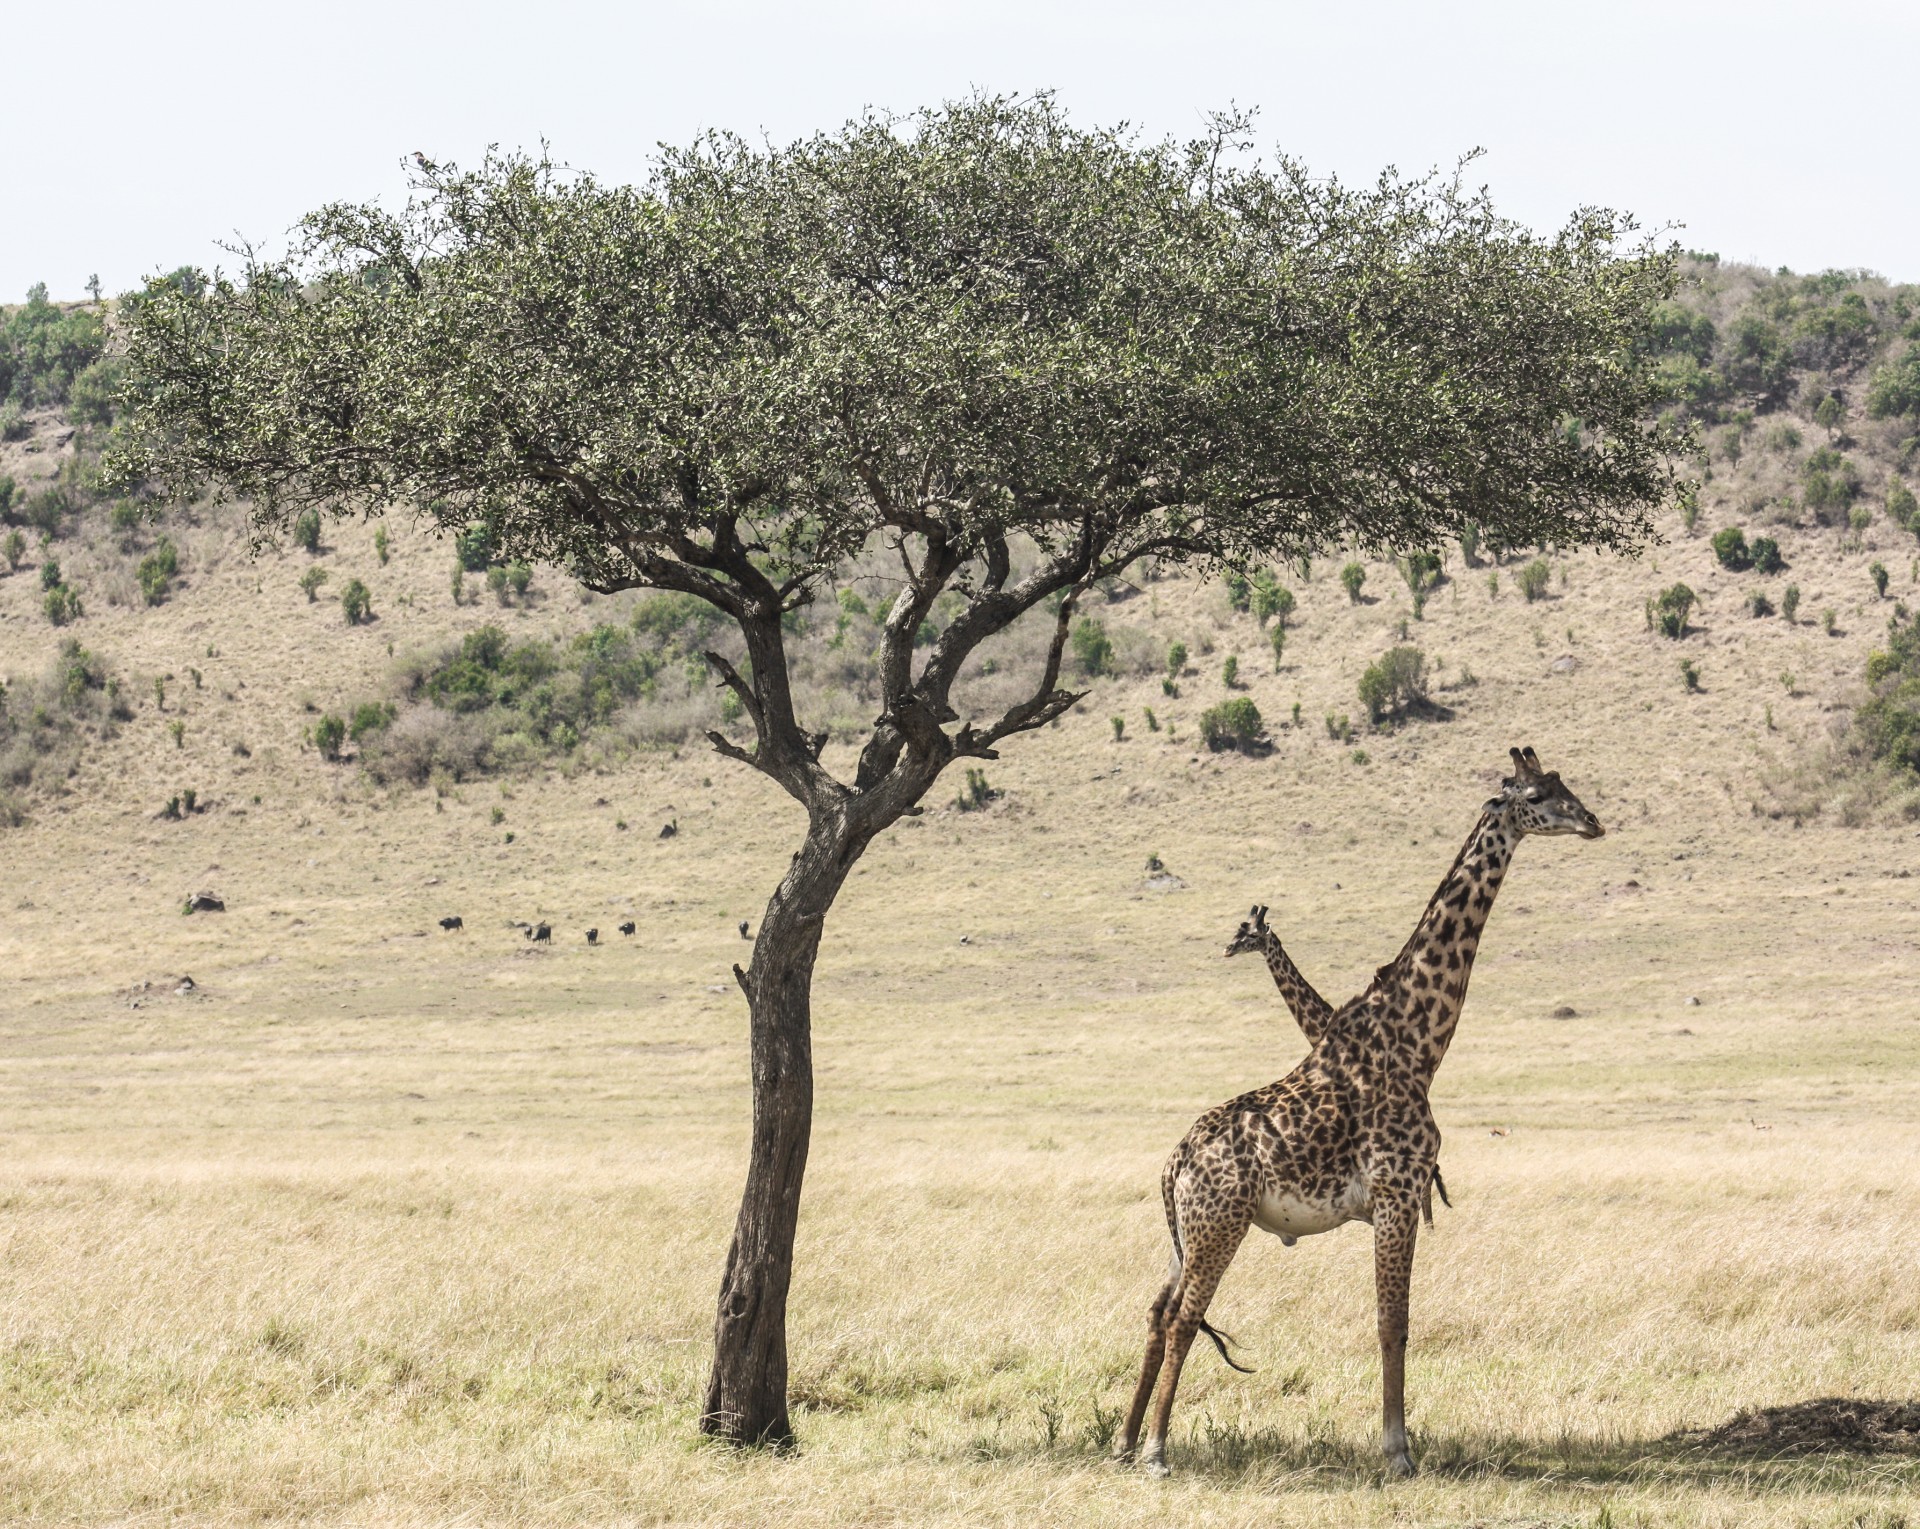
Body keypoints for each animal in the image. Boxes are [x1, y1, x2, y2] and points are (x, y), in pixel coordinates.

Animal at [1116, 746, 1603, 1479]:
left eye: (1565, 783)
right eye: (1540, 795)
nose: (1594, 821)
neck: (1418, 1041)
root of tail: (1175, 1160)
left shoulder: (1398, 1198)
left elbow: (1392, 1321)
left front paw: (1399, 1443)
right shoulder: (1397, 1191)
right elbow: (1392, 1322)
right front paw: (1398, 1450)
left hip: (1188, 1232)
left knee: (1157, 1311)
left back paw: (1122, 1440)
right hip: (1220, 1224)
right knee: (1182, 1319)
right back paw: (1155, 1450)